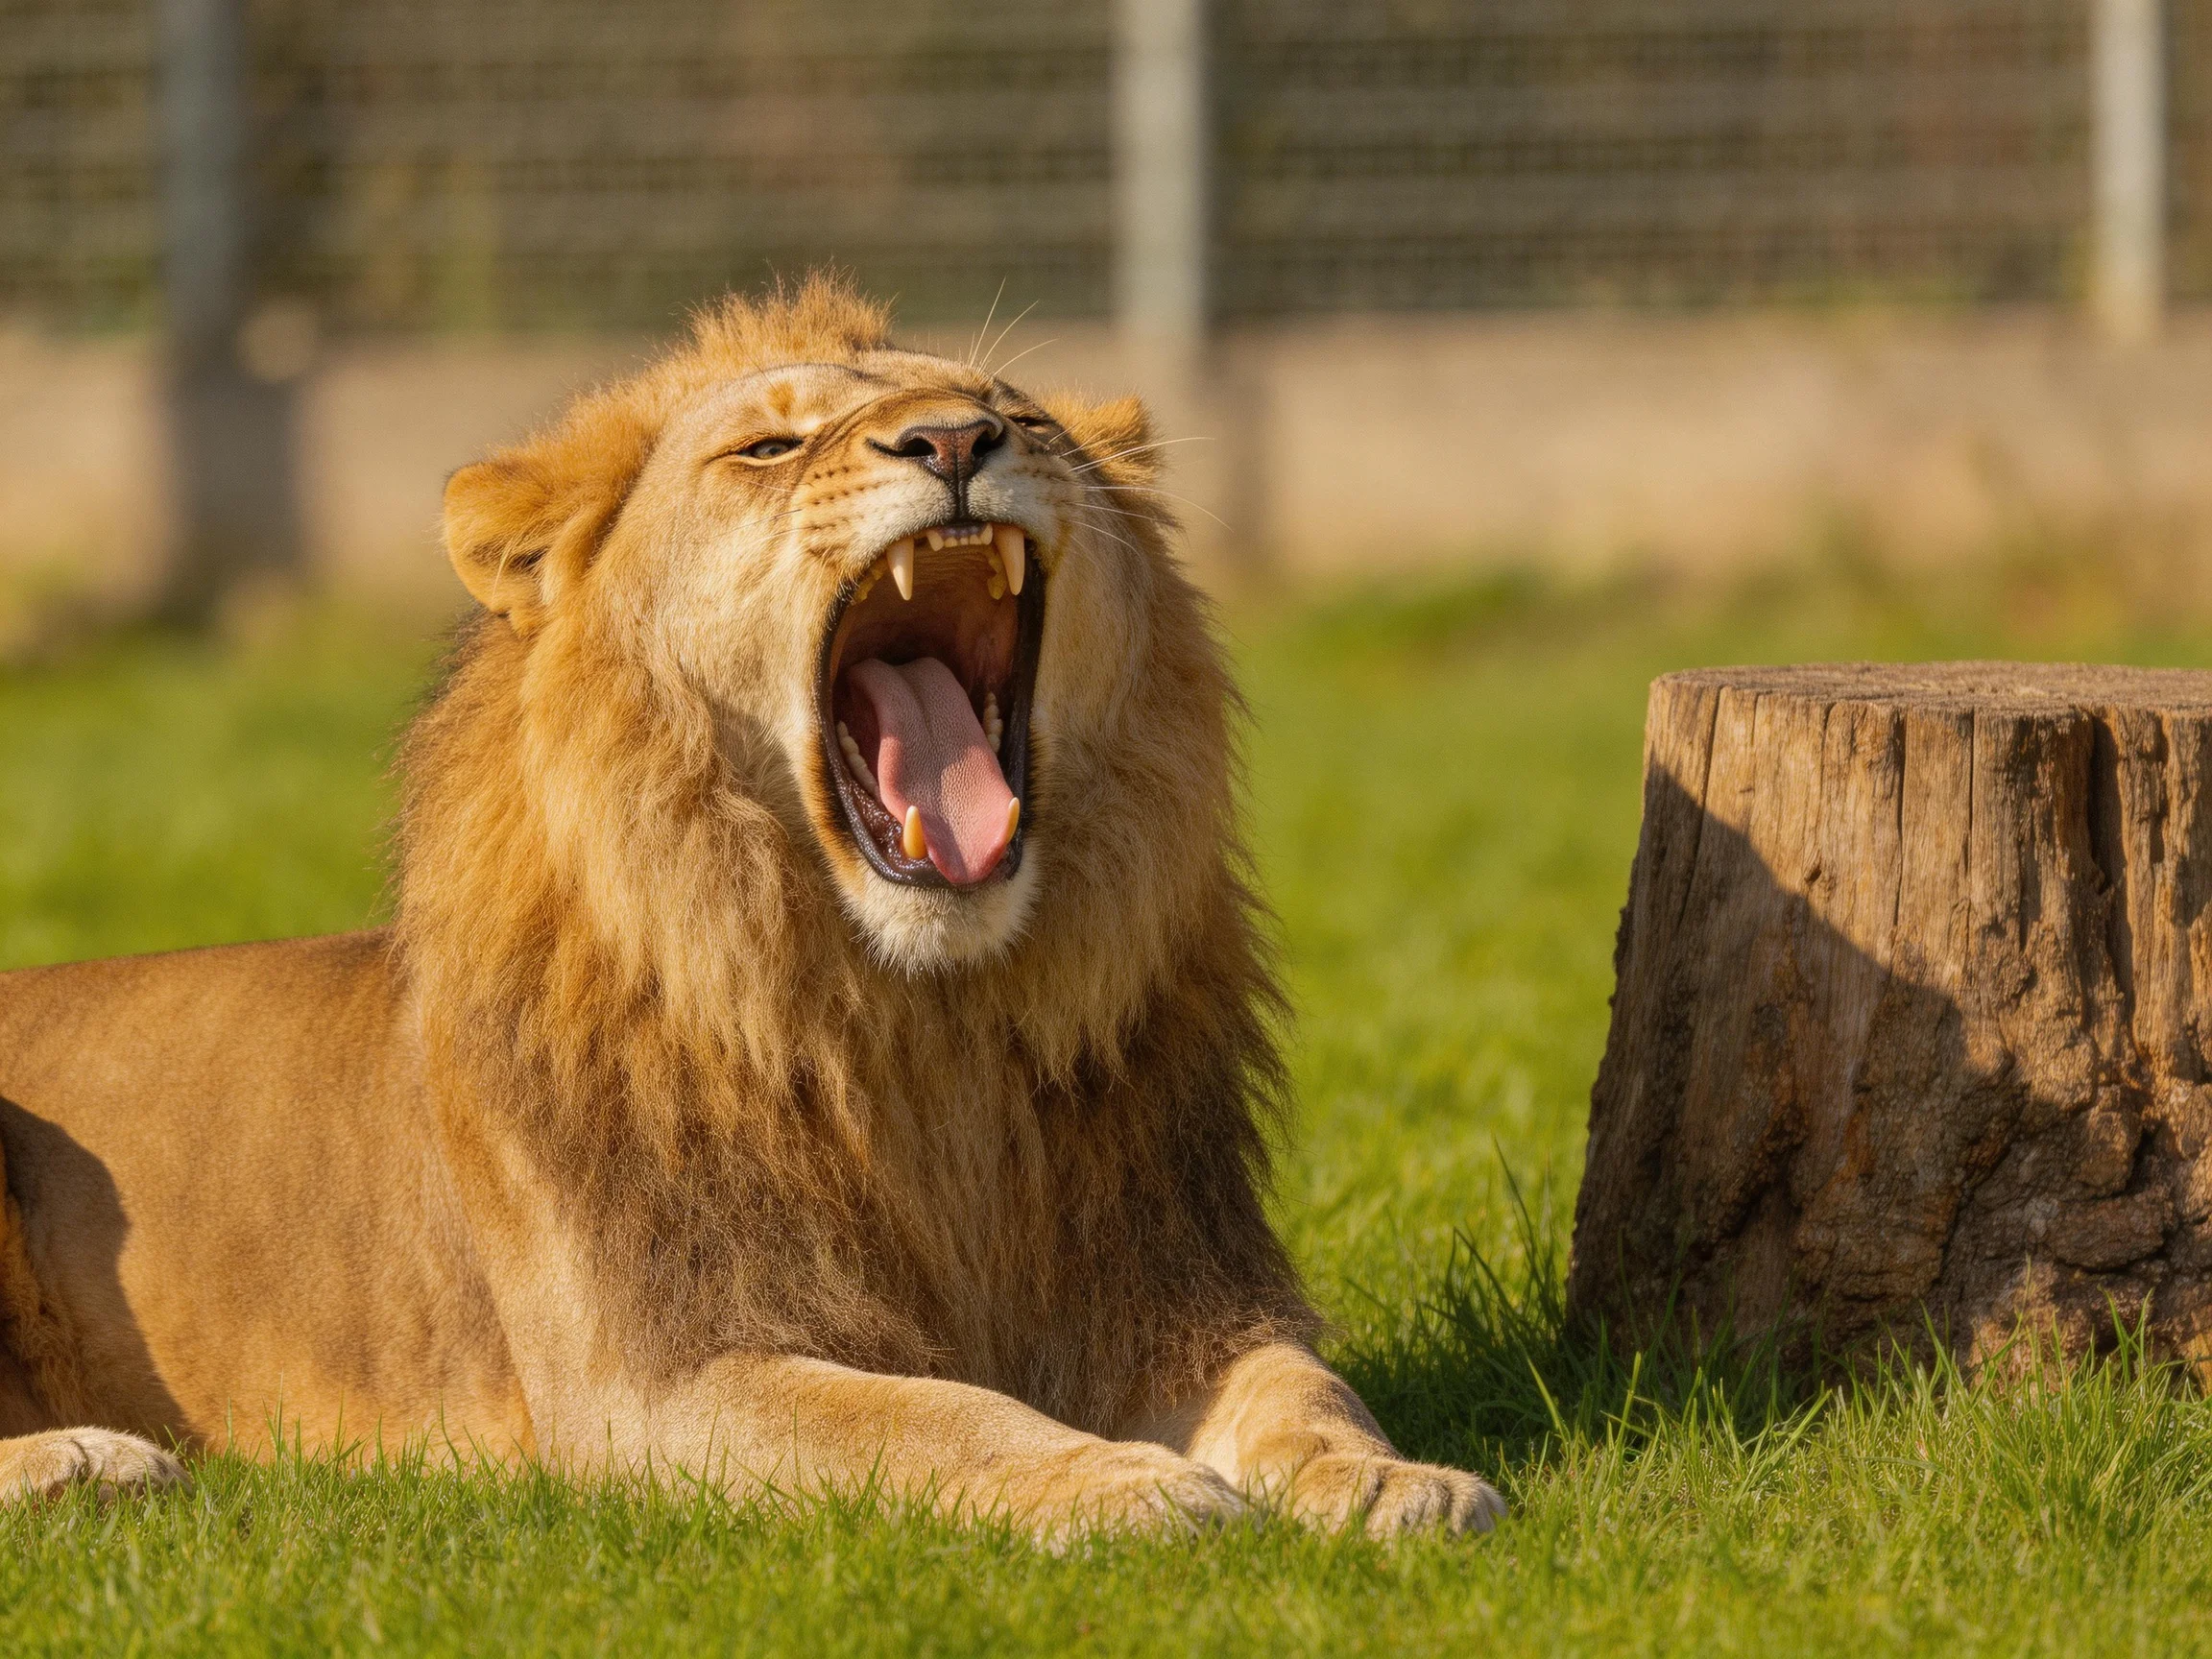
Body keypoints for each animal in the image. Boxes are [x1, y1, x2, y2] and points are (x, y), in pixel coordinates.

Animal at [0, 277, 1502, 1538]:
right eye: (770, 449)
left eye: (1017, 414)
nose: (956, 440)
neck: (920, 1029)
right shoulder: (658, 1381)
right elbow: (928, 1417)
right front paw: (1121, 1484)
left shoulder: (1173, 1296)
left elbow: (1302, 1387)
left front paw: (1393, 1483)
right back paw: (88, 1460)